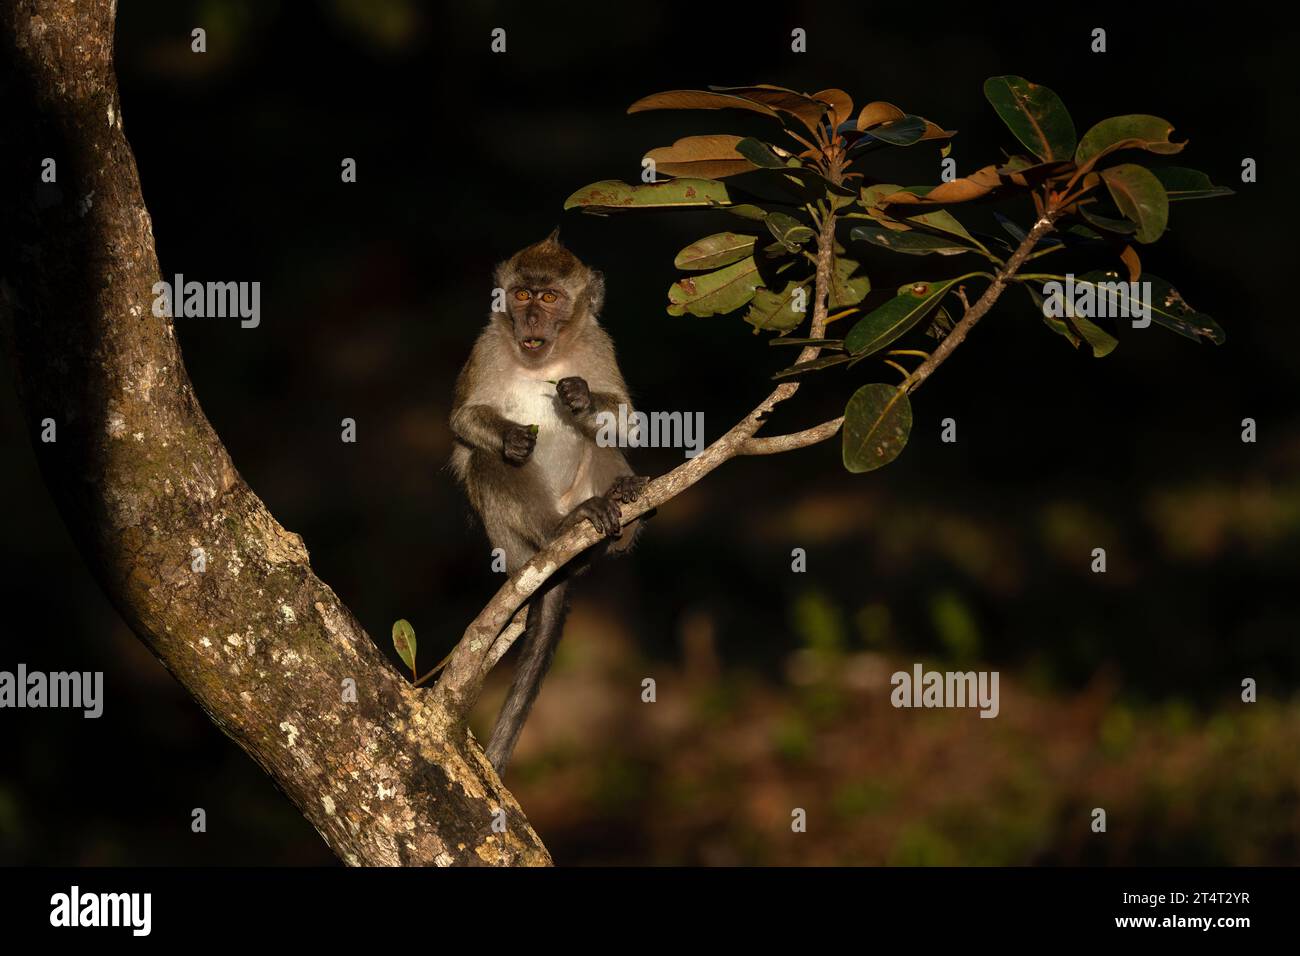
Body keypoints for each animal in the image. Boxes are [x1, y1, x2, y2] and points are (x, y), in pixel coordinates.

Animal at [449, 231, 647, 774]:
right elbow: (463, 423)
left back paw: (617, 511)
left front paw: (582, 398)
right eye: (522, 295)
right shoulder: (486, 346)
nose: (532, 319)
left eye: (551, 298)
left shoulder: (600, 345)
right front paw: (511, 437)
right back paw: (561, 529)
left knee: (600, 440)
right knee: (487, 465)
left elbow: (628, 421)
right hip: (511, 543)